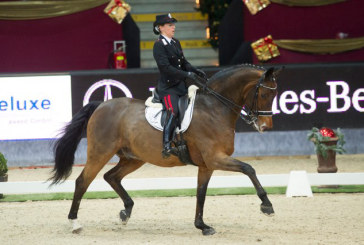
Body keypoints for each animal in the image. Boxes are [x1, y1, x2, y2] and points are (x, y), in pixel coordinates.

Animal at [49, 64, 280, 235]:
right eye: (264, 95)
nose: (265, 127)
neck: (214, 108)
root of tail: (100, 105)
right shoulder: (215, 158)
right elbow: (249, 169)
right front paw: (267, 206)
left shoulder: (207, 165)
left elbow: (201, 193)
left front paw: (202, 226)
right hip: (100, 153)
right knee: (83, 181)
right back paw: (75, 224)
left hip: (134, 158)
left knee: (111, 176)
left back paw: (126, 211)